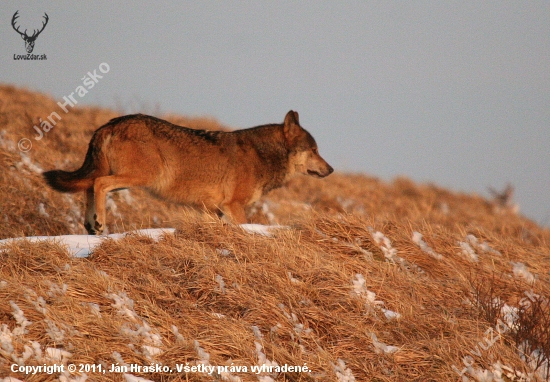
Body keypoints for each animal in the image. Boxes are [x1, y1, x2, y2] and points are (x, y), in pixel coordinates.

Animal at [43, 109, 334, 231]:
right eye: (314, 150)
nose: (330, 169)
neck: (262, 155)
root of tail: (110, 124)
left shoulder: (216, 210)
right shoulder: (234, 205)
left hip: (126, 179)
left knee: (89, 187)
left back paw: (92, 226)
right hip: (140, 177)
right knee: (99, 184)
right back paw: (100, 223)